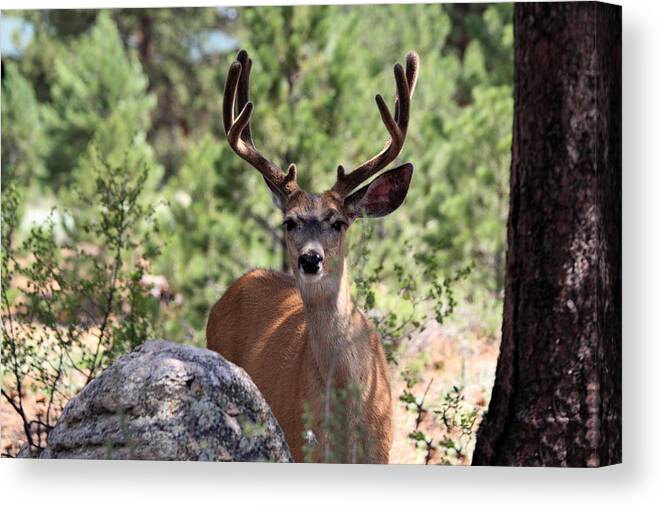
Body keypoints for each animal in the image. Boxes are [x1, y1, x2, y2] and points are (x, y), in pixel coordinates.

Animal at [208, 49, 418, 462]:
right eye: (289, 222)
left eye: (338, 222)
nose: (310, 260)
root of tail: (245, 278)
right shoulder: (302, 442)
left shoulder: (382, 449)